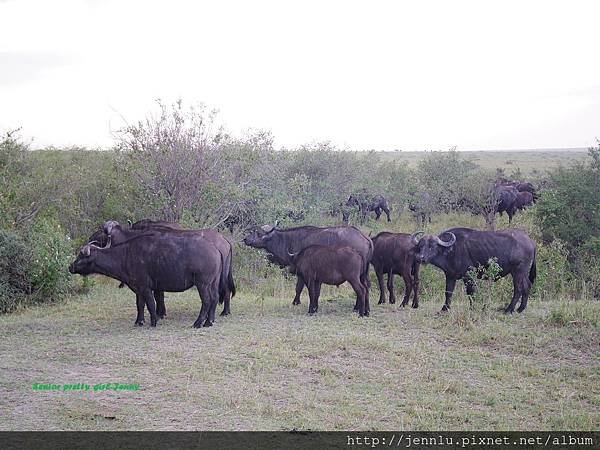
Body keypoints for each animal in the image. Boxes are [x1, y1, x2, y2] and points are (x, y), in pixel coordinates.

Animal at [69, 225, 227, 326]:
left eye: (81, 256)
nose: (70, 267)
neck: (125, 256)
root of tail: (216, 248)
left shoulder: (145, 287)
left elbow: (151, 304)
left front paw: (154, 321)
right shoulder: (138, 289)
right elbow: (140, 305)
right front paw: (139, 321)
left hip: (202, 284)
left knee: (207, 300)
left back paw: (199, 322)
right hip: (213, 283)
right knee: (215, 298)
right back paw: (209, 321)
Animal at [243, 223, 372, 308]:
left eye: (258, 233)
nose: (245, 239)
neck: (287, 240)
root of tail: (365, 237)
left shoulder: (302, 273)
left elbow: (299, 287)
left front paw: (296, 302)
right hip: (362, 274)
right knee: (365, 287)